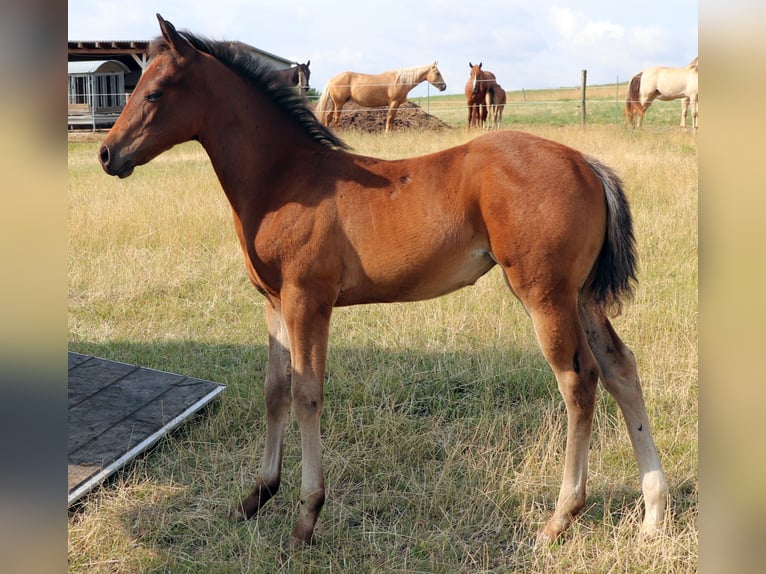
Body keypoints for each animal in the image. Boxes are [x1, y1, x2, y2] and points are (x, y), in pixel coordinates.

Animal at [316, 62, 446, 132]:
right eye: (437, 73)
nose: (444, 86)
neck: (401, 80)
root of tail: (332, 79)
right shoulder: (393, 103)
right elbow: (389, 118)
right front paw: (387, 134)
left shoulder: (396, 105)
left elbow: (392, 119)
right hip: (339, 104)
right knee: (335, 118)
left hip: (334, 104)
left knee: (328, 117)